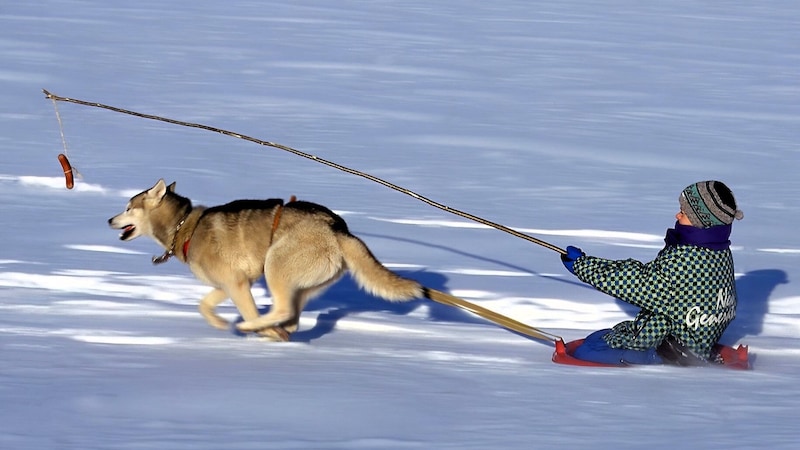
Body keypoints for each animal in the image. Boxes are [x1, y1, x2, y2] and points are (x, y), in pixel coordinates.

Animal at [111, 179, 424, 342]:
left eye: (127, 207)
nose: (109, 220)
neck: (185, 226)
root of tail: (338, 228)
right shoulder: (233, 283)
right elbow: (204, 305)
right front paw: (220, 324)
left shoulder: (236, 284)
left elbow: (248, 311)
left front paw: (251, 327)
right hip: (301, 282)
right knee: (292, 317)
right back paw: (275, 330)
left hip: (275, 266)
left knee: (283, 310)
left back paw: (258, 328)